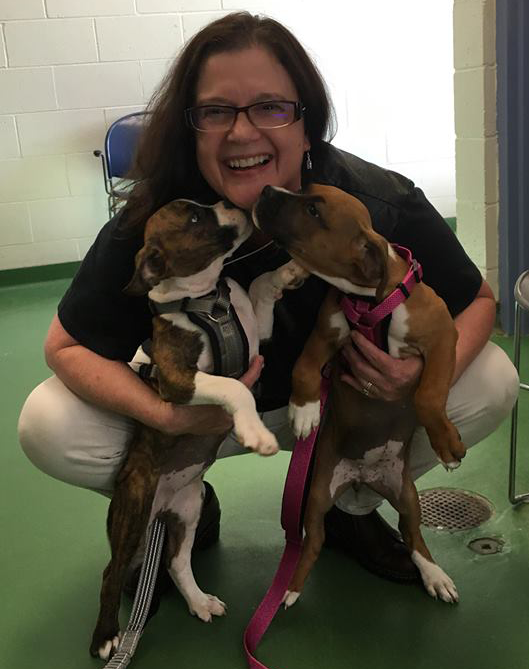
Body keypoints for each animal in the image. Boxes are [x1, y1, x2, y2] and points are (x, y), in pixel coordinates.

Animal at [89, 197, 304, 656]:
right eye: (193, 217)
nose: (226, 201)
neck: (206, 298)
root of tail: (161, 508)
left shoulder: (258, 333)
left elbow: (262, 284)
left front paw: (290, 269)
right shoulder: (179, 379)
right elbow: (232, 386)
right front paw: (256, 433)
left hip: (189, 507)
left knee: (175, 560)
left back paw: (199, 602)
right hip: (133, 512)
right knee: (111, 572)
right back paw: (105, 637)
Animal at [254, 183, 464, 604]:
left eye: (314, 210)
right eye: (303, 190)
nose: (267, 188)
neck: (368, 298)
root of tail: (364, 476)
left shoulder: (442, 337)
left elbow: (427, 395)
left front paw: (446, 445)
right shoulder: (325, 335)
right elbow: (302, 368)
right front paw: (304, 411)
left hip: (408, 495)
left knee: (414, 536)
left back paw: (433, 574)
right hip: (318, 493)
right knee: (313, 541)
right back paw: (291, 588)